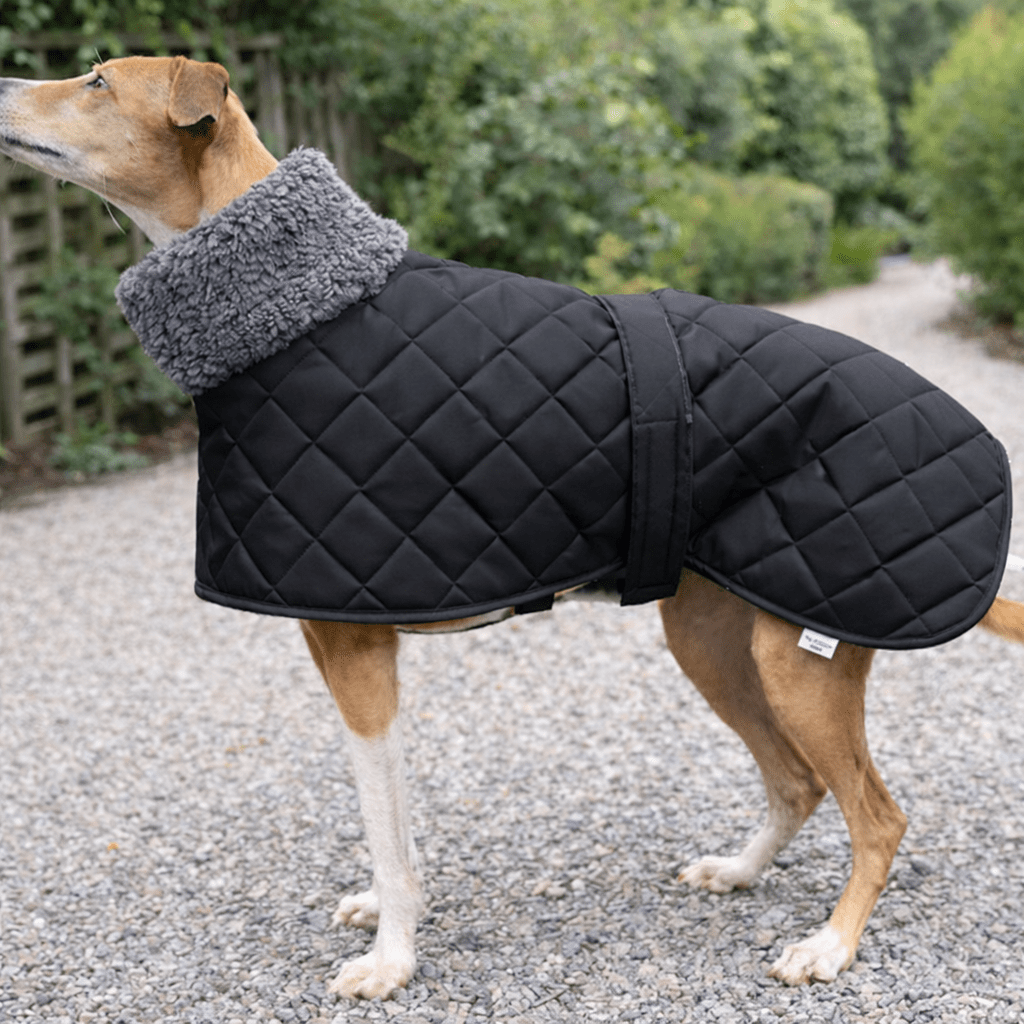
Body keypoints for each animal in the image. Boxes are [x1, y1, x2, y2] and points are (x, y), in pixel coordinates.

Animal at [3, 55, 1024, 1001]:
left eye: (97, 81)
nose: (6, 80)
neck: (297, 307)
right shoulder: (357, 645)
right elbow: (398, 825)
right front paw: (397, 917)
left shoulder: (355, 653)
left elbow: (383, 821)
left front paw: (393, 960)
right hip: (713, 637)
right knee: (798, 781)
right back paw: (739, 872)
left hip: (799, 660)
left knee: (877, 815)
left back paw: (830, 946)